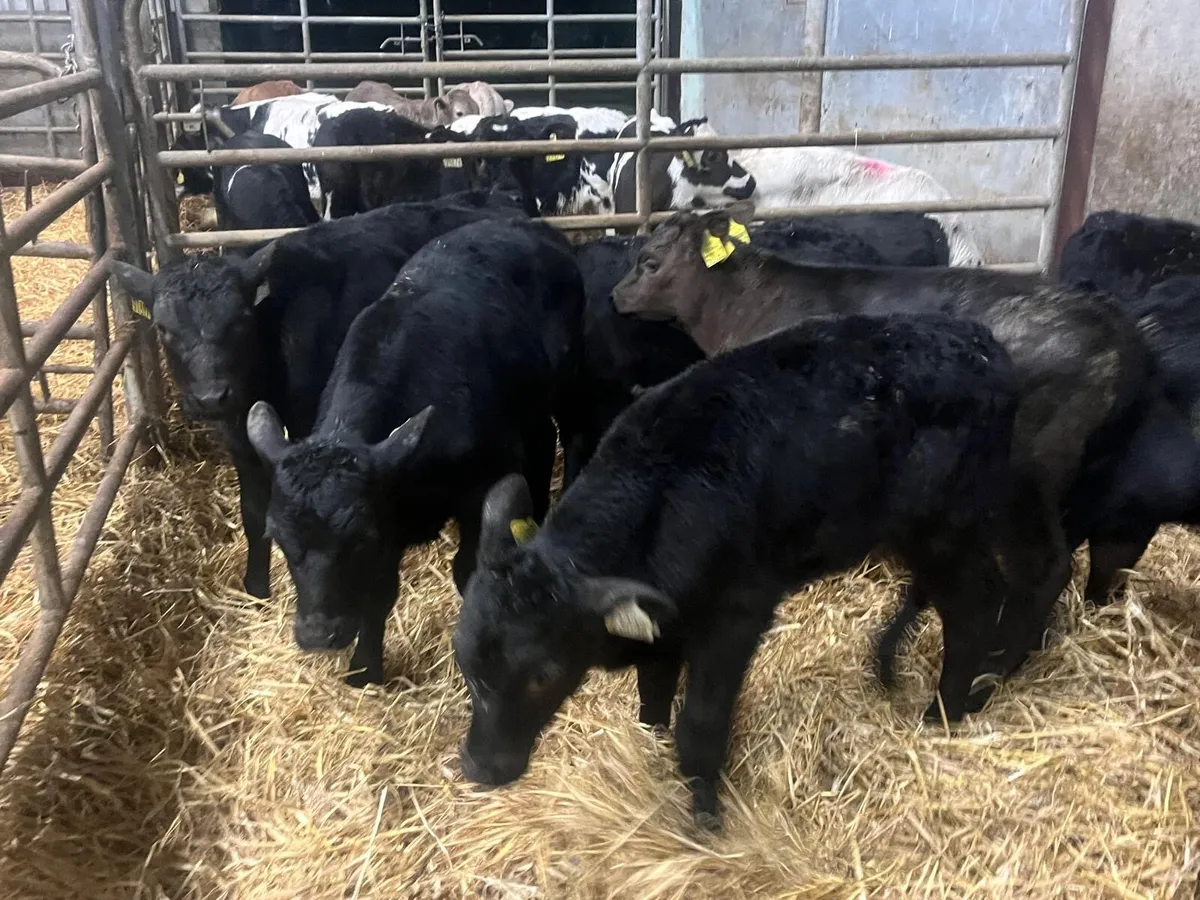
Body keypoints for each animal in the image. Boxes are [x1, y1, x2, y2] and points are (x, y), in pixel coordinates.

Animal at [108, 196, 526, 600]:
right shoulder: (242, 442)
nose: (211, 397)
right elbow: (252, 513)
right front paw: (256, 588)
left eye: (240, 319)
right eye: (164, 328)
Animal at [244, 218, 587, 686]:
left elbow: (466, 570)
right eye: (277, 536)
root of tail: (529, 225)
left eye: (358, 537)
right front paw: (365, 669)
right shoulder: (388, 515)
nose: (318, 634)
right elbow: (379, 592)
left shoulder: (482, 484)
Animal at [453, 313, 1021, 829]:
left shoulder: (735, 619)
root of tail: (982, 343)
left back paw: (945, 710)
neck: (663, 502)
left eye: (543, 674)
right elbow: (653, 700)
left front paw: (705, 820)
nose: (480, 768)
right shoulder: (665, 628)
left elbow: (701, 728)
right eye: (465, 664)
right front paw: (651, 751)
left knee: (975, 602)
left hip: (946, 528)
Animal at [611, 202, 1150, 692]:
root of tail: (1111, 326)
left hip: (1026, 471)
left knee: (1045, 565)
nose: (617, 293)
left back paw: (998, 666)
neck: (743, 300)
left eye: (650, 262)